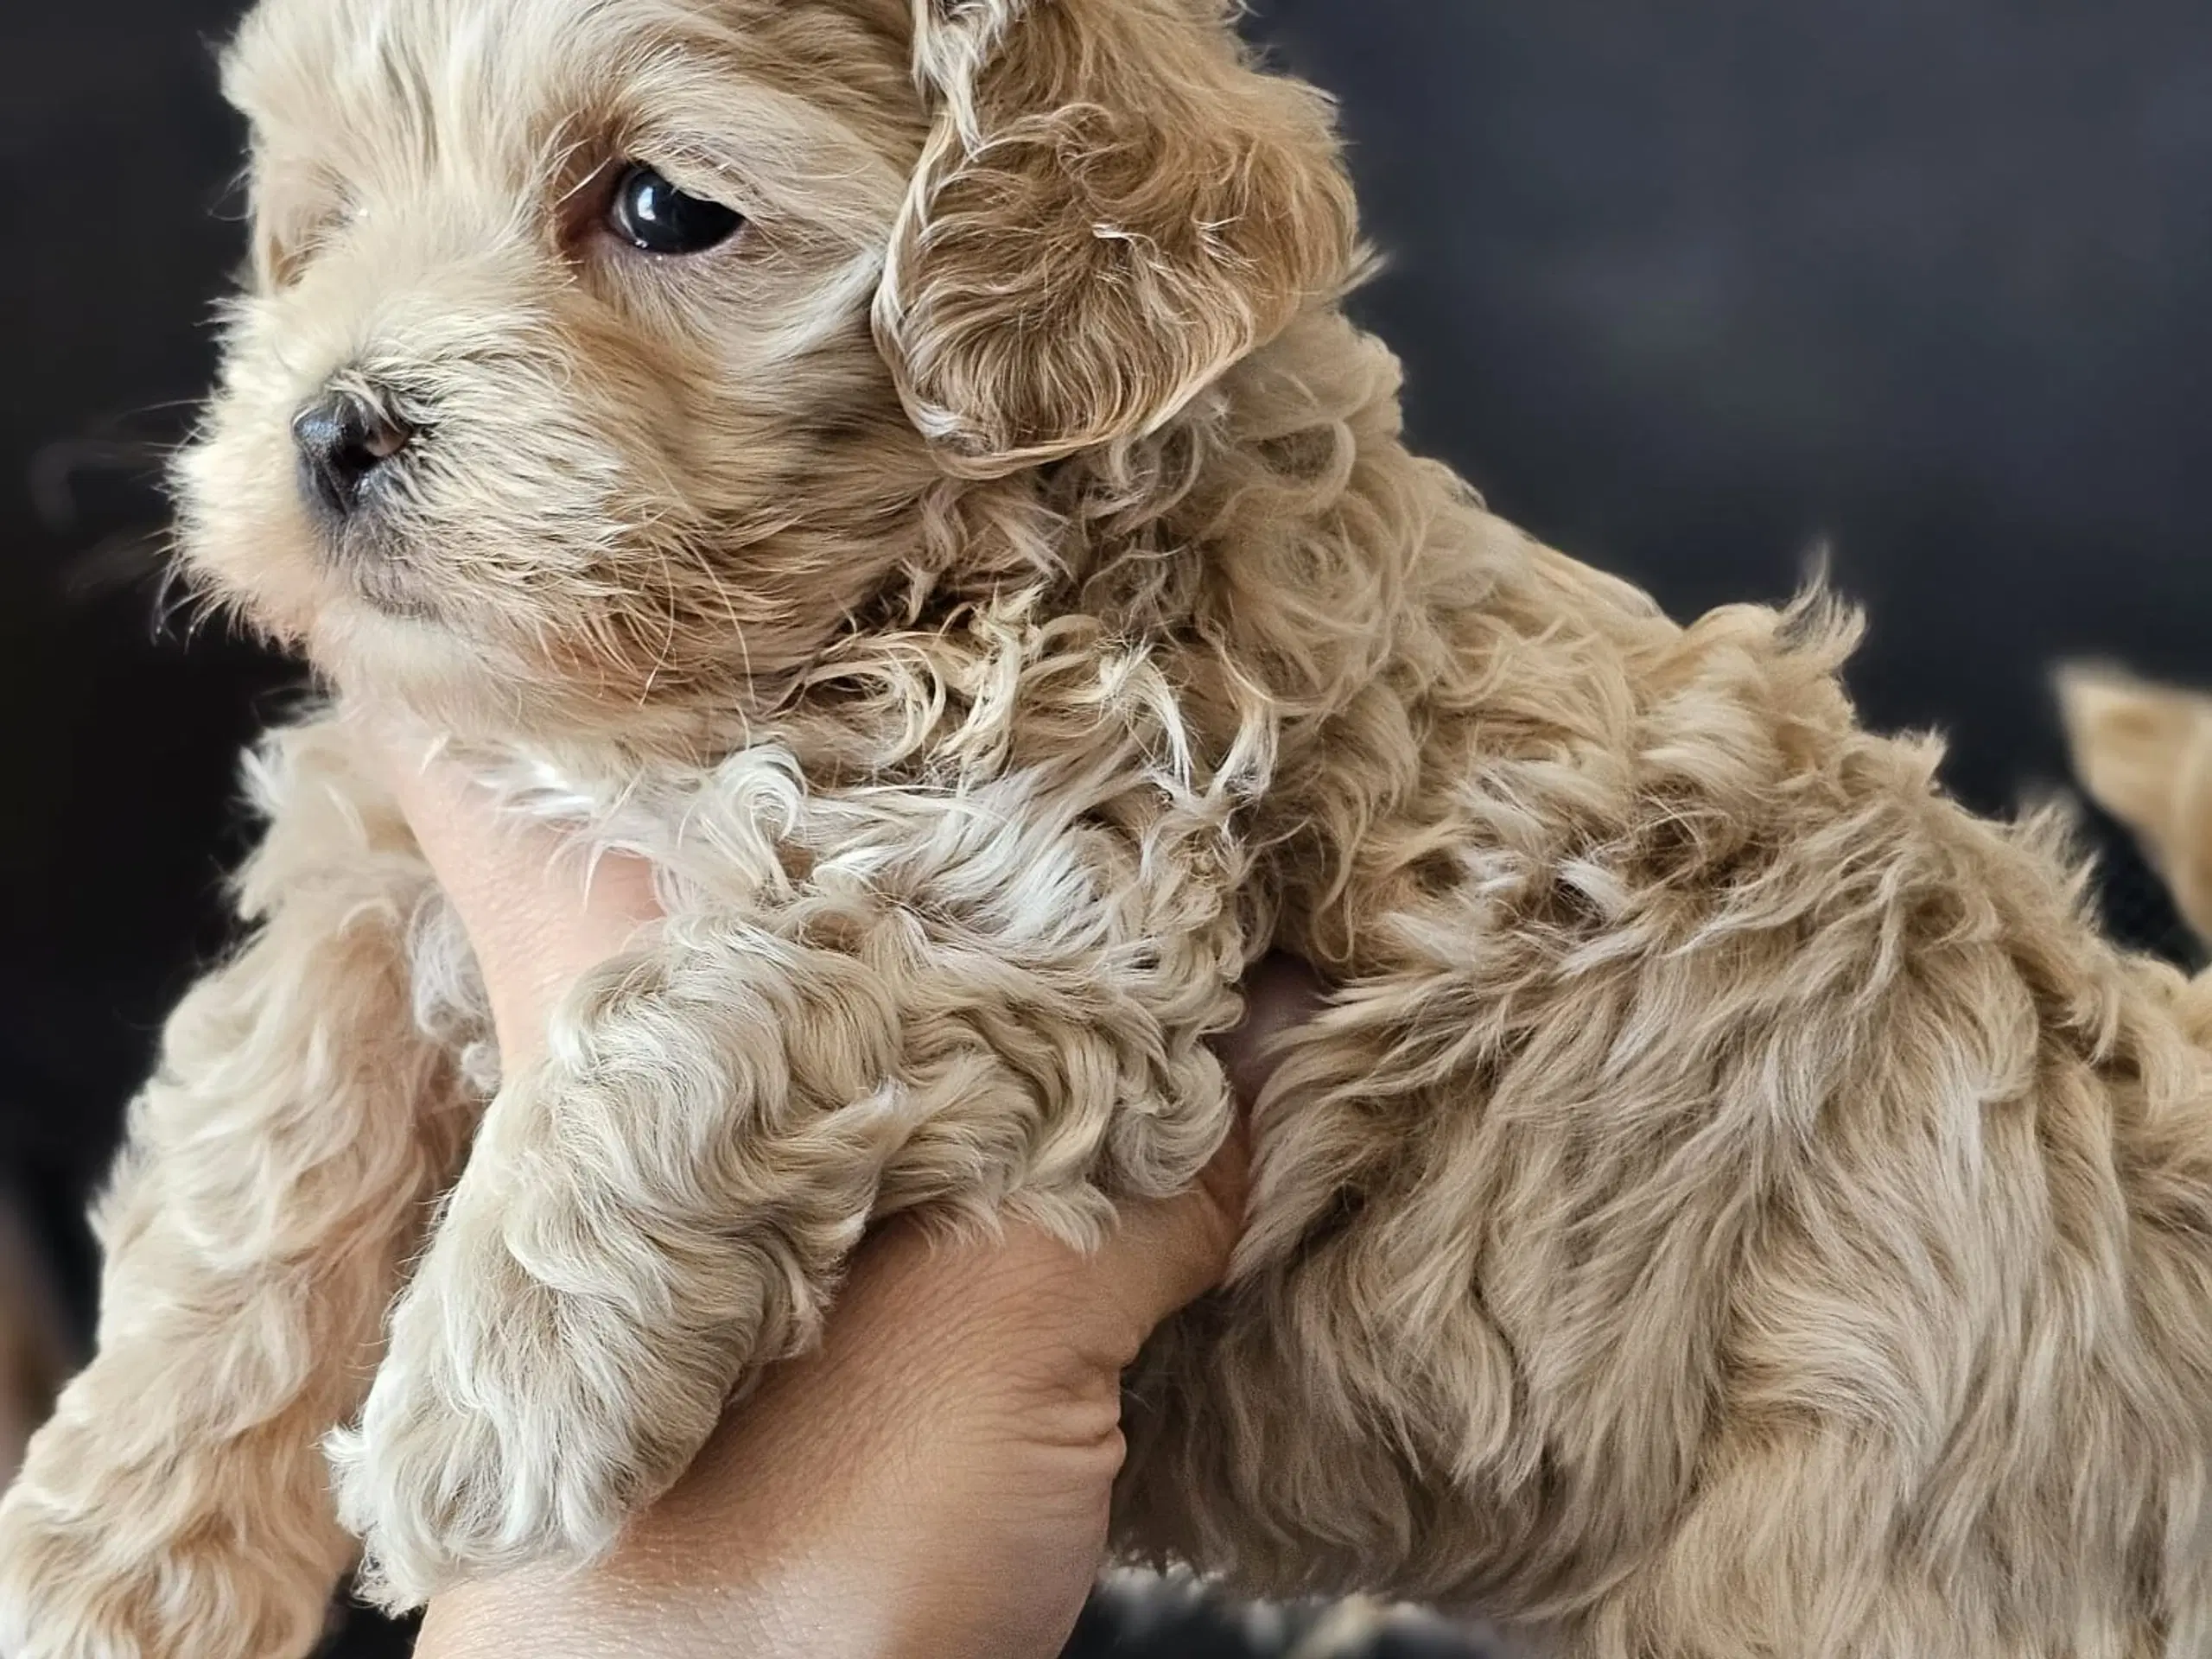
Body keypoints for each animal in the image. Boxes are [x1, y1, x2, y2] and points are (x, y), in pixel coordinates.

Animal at [4, 3, 2212, 1659]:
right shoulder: (380, 842)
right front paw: (113, 1559)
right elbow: (259, 1145)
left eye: (658, 205)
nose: (326, 427)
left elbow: (717, 972)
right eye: (317, 226)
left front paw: (499, 1371)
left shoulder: (1072, 884)